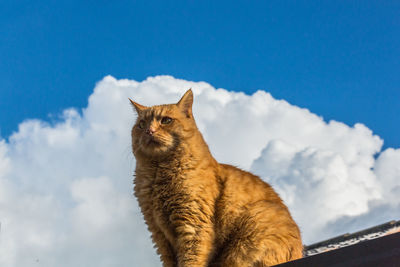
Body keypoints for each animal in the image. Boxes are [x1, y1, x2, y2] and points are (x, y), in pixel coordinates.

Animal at [130, 89, 302, 266]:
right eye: (141, 125)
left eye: (166, 120)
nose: (149, 131)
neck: (157, 176)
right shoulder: (159, 235)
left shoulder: (193, 226)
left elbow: (191, 260)